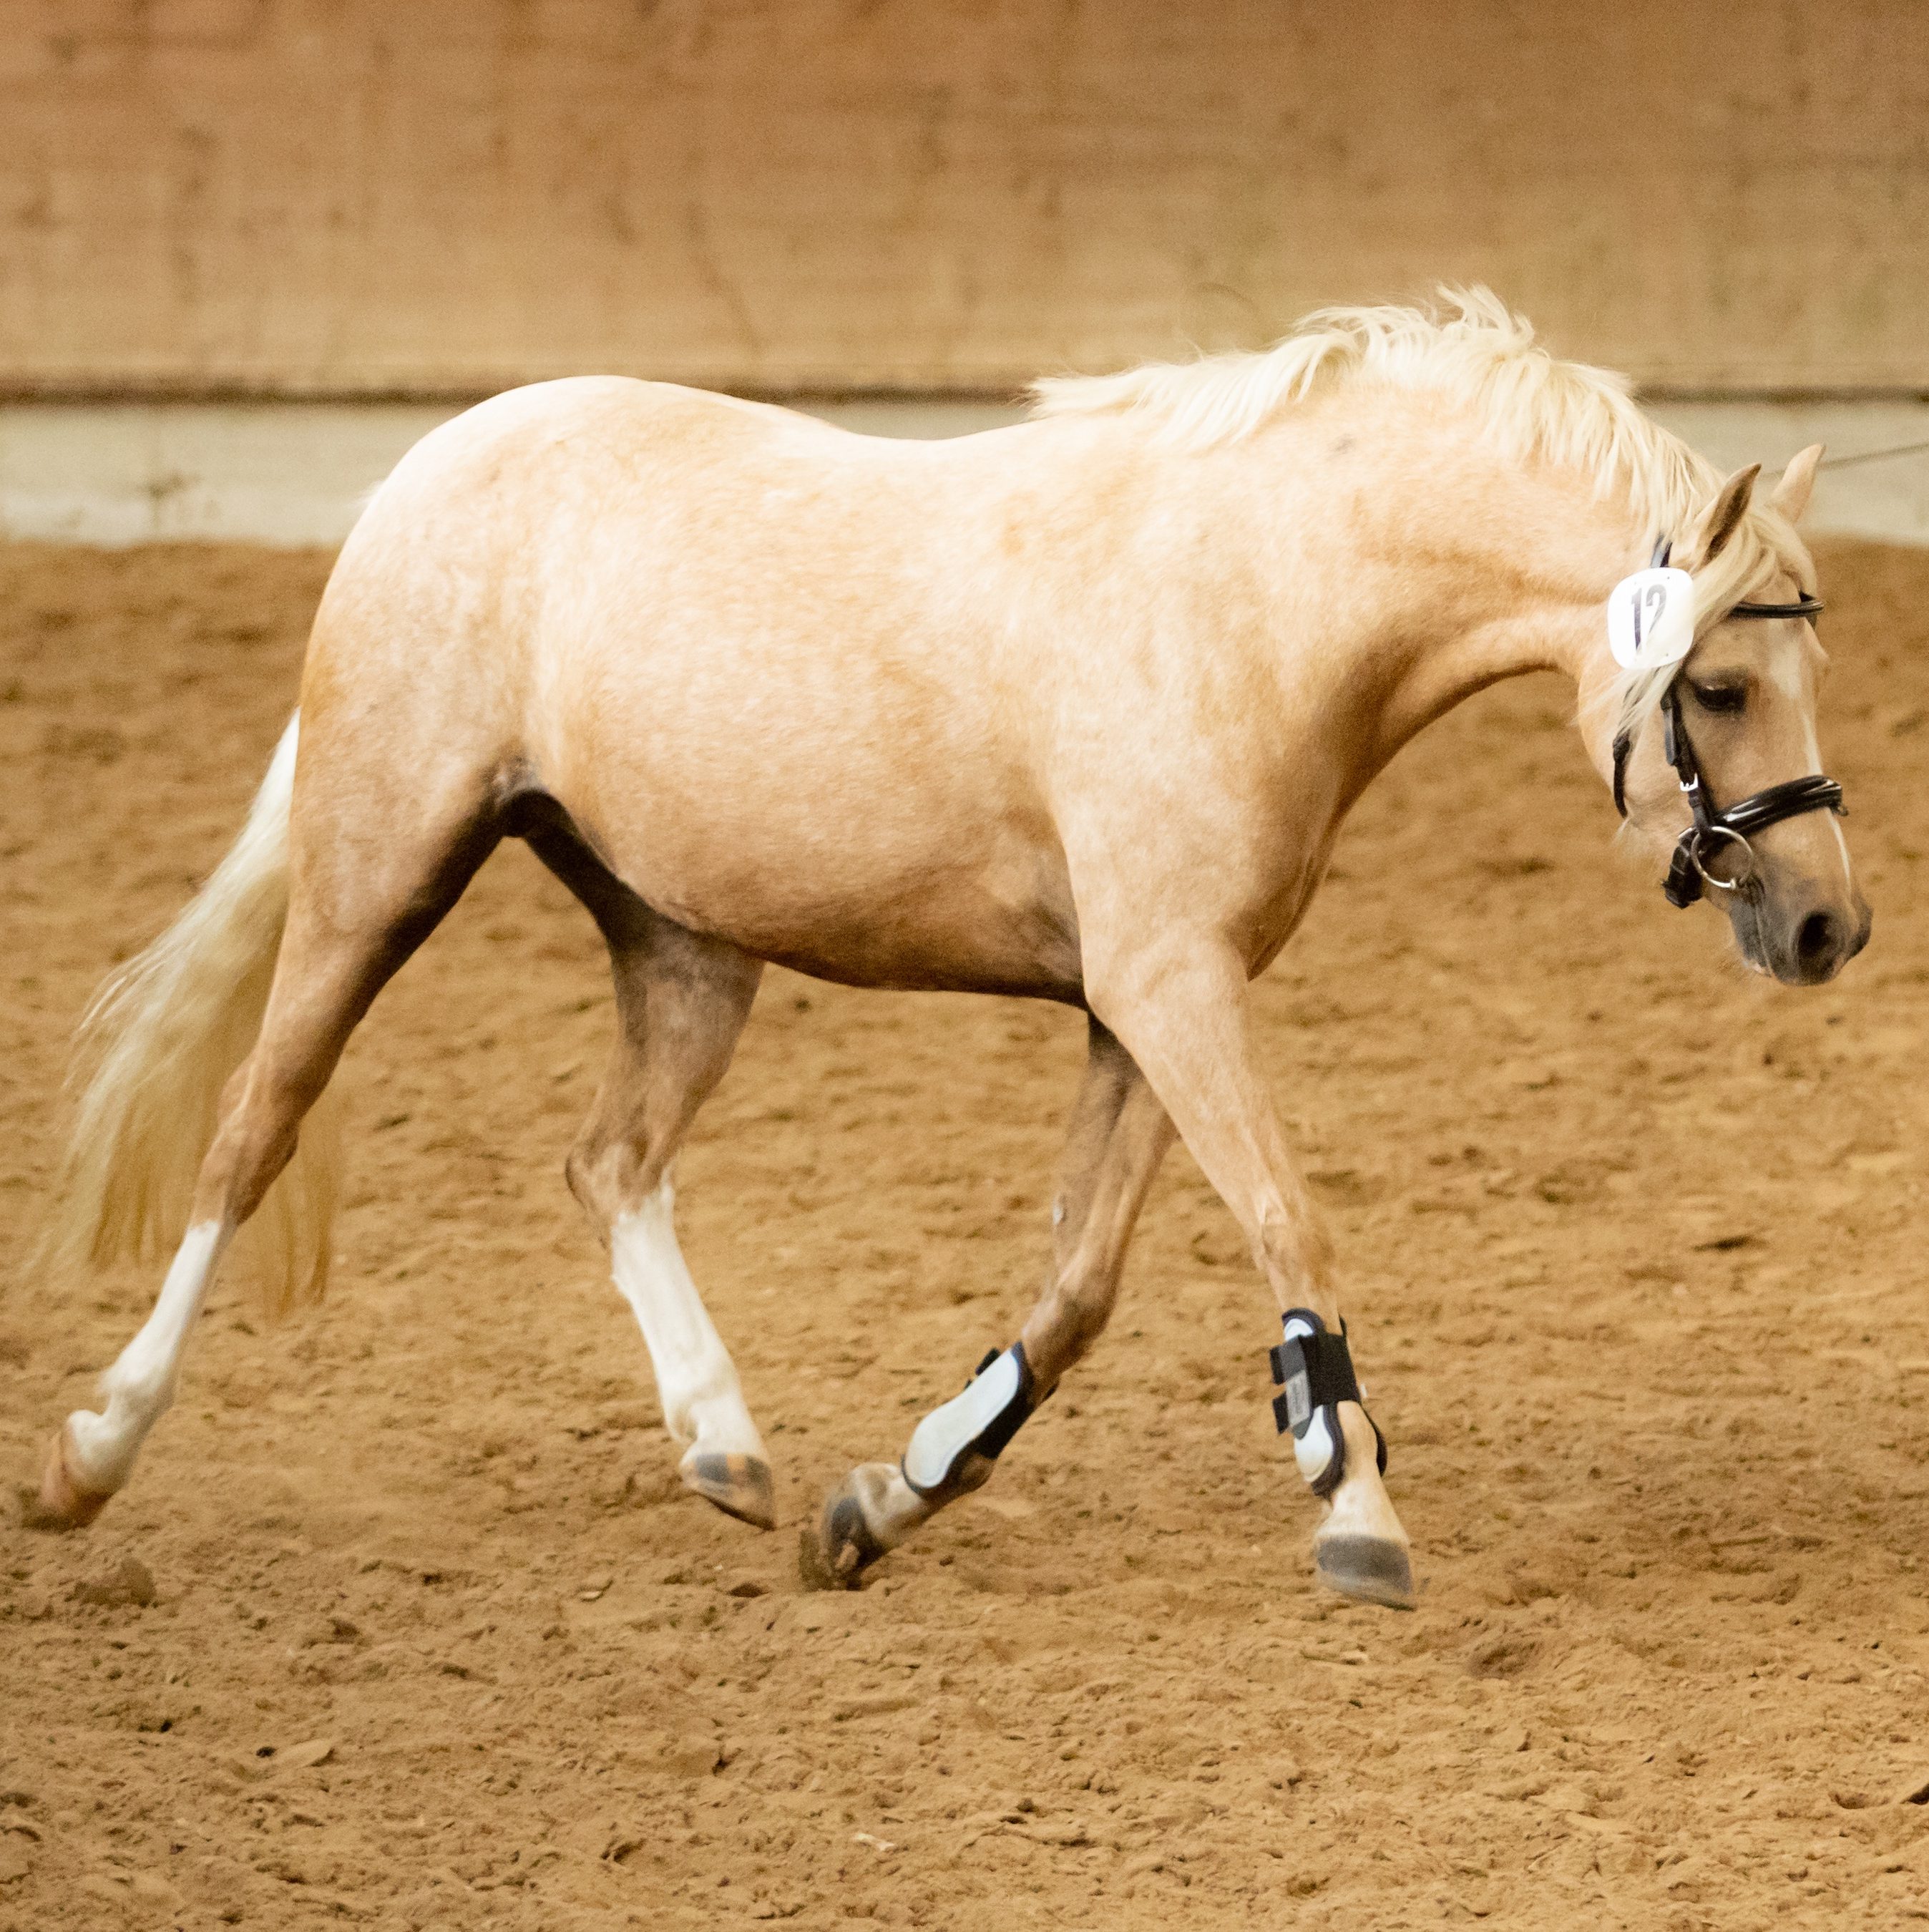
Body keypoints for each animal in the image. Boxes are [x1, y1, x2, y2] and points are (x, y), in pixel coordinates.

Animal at [25, 290, 1868, 1612]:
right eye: (1715, 688)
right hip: (379, 872)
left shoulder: (1149, 1002)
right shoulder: (1169, 990)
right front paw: (1355, 1508)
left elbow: (1076, 1290)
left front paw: (879, 1503)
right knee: (251, 1136)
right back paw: (89, 1454)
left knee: (608, 1161)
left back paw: (726, 1449)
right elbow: (1289, 1222)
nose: (1827, 921)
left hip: (685, 945)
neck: (1249, 601)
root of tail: (431, 466)